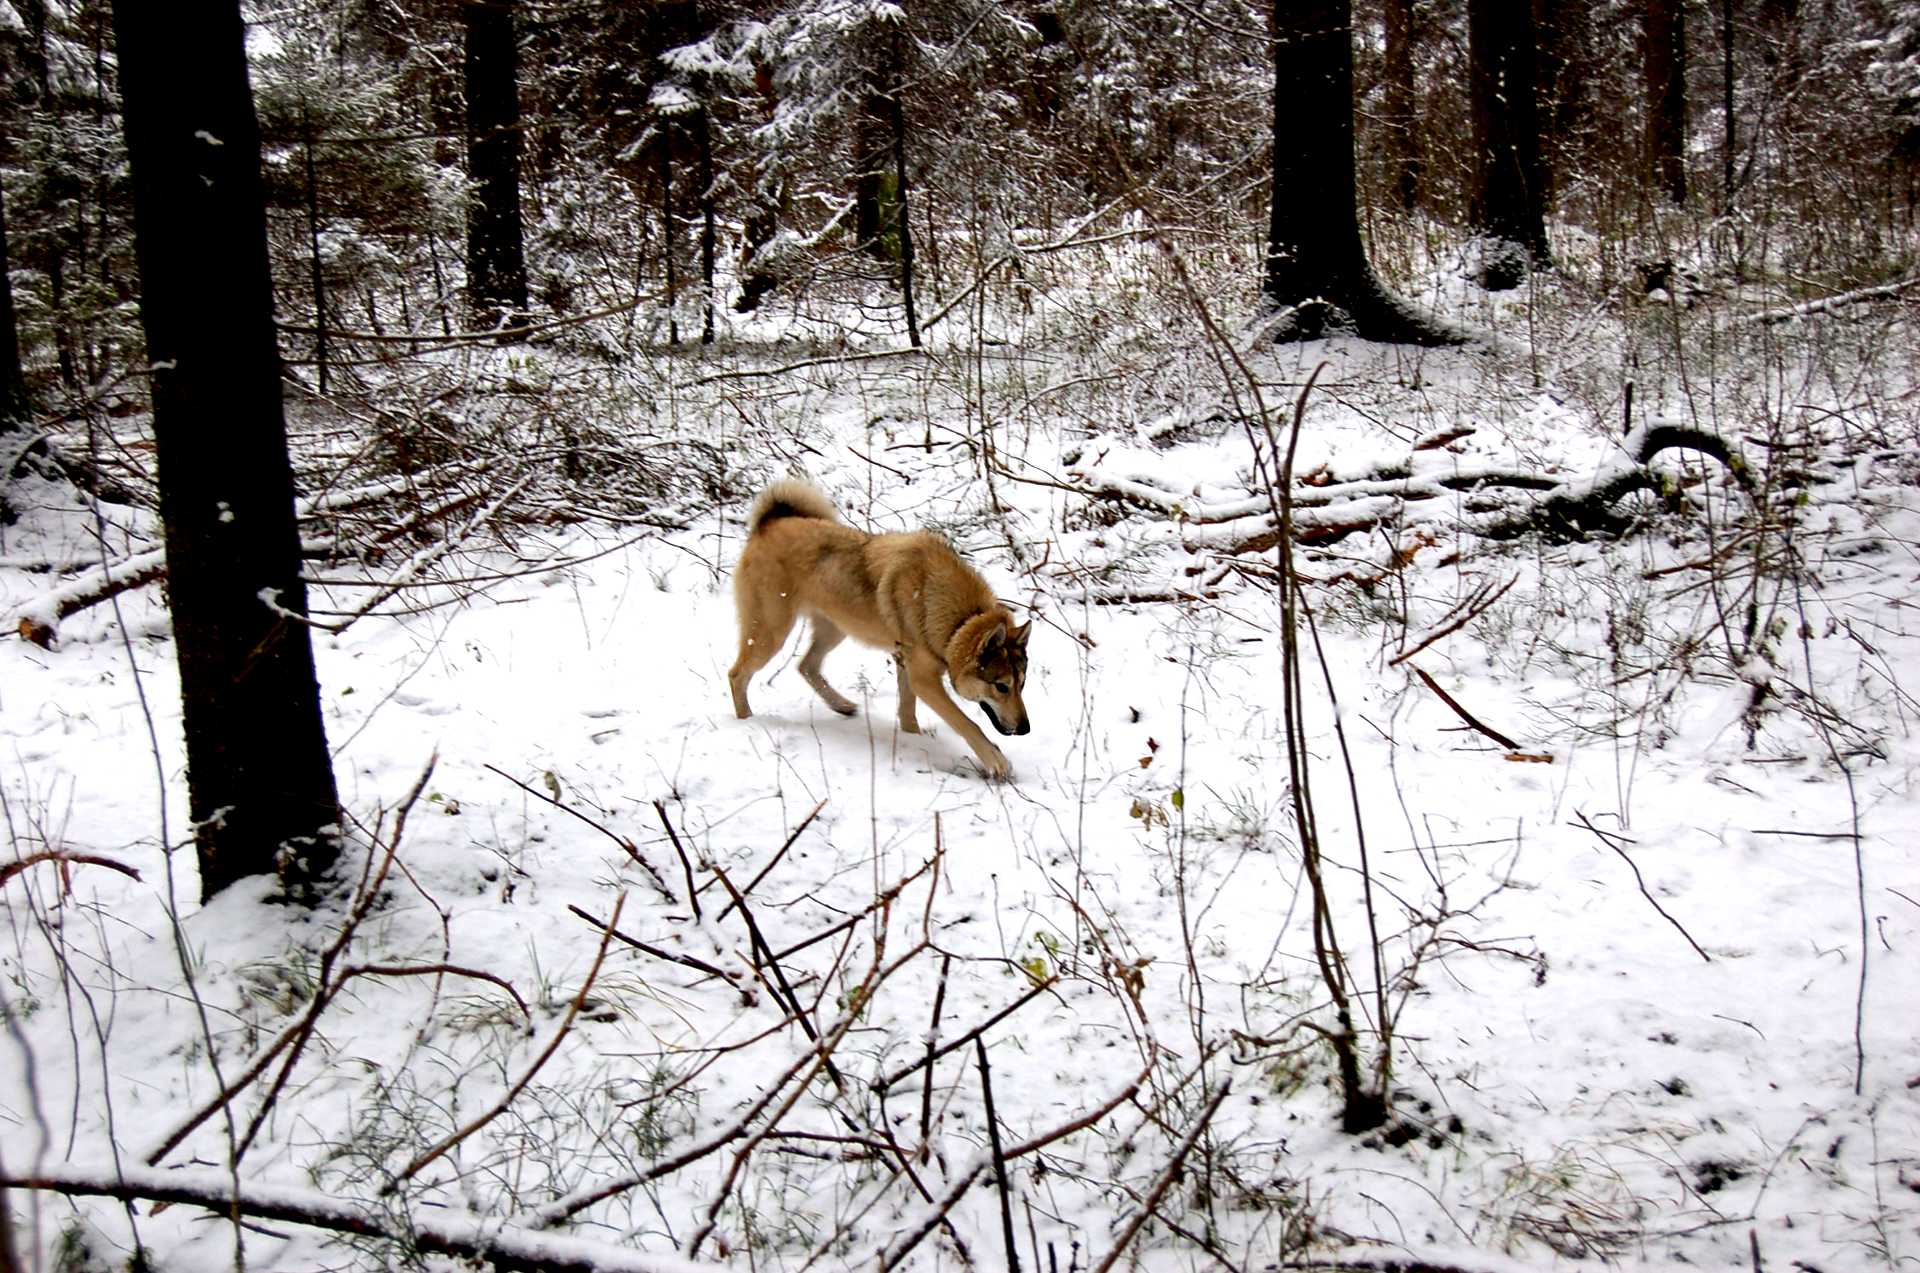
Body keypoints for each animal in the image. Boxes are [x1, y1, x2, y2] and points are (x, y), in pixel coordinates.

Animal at [729, 478, 1036, 775]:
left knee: (806, 665)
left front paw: (915, 739)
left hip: (835, 629)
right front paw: (995, 761)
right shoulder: (924, 679)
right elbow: (966, 723)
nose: (1025, 729)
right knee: (737, 674)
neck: (958, 619)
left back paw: (841, 705)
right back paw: (747, 720)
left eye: (1022, 684)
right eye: (1001, 687)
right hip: (771, 634)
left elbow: (908, 712)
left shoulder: (906, 665)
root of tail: (768, 523)